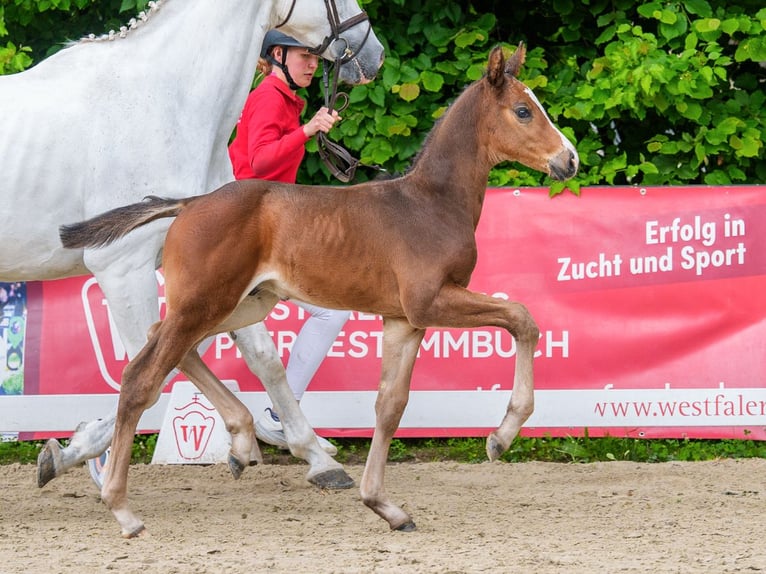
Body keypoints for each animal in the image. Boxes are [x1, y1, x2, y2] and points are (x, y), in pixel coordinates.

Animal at [0, 0, 383, 490]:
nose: (374, 53)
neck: (163, 103)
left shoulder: (221, 265)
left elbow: (262, 357)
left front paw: (315, 457)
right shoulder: (122, 267)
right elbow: (144, 370)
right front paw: (82, 455)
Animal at [59, 43, 579, 537]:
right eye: (524, 110)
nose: (569, 160)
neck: (430, 203)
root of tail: (189, 203)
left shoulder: (404, 320)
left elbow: (390, 406)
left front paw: (385, 506)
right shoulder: (431, 301)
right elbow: (522, 318)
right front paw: (501, 436)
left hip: (239, 305)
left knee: (163, 343)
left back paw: (241, 440)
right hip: (204, 304)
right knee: (140, 377)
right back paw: (122, 508)